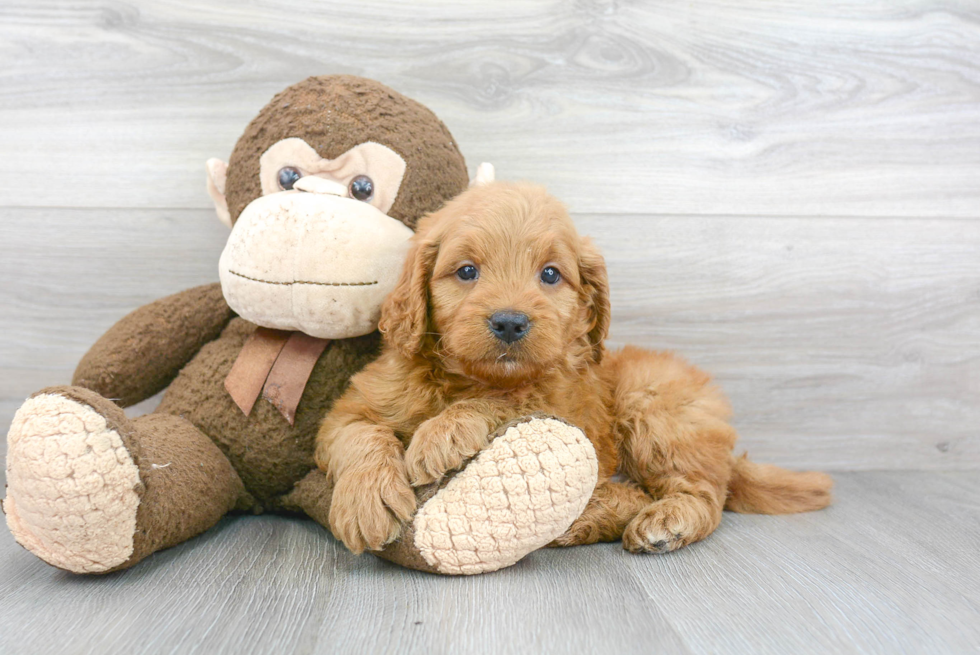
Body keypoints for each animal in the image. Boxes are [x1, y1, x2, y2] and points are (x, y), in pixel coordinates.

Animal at [316, 182, 836, 556]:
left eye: (550, 274)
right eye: (466, 271)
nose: (510, 322)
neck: (465, 378)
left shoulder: (560, 402)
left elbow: (506, 400)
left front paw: (444, 431)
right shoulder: (350, 408)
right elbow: (358, 435)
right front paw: (367, 501)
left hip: (651, 404)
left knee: (702, 496)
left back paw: (657, 522)